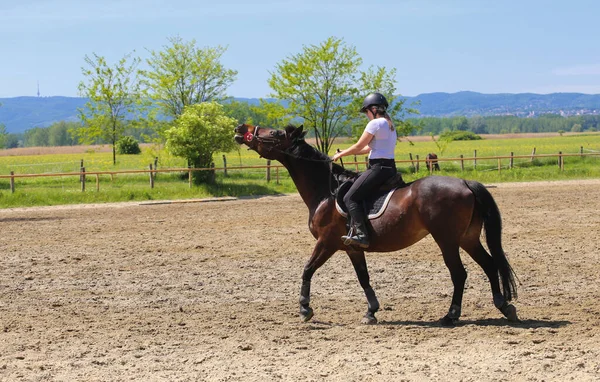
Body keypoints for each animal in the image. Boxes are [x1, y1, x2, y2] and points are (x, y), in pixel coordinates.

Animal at [232, 124, 516, 326]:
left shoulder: (326, 242)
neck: (325, 191)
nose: (240, 129)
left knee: (459, 273)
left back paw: (451, 315)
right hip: (468, 238)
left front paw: (305, 308)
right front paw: (371, 312)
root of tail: (466, 183)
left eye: (274, 133)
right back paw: (504, 306)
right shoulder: (352, 248)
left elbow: (307, 269)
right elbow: (363, 277)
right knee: (490, 265)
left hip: (447, 240)